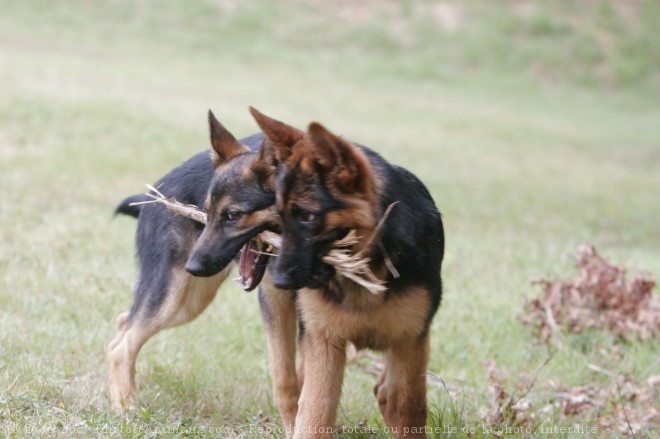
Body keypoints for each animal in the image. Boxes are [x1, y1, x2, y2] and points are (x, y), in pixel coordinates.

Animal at [250, 108, 446, 438]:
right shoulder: (325, 342)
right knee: (289, 383)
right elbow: (315, 413)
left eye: (307, 216)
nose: (279, 280)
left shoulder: (409, 341)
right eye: (281, 214)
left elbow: (409, 408)